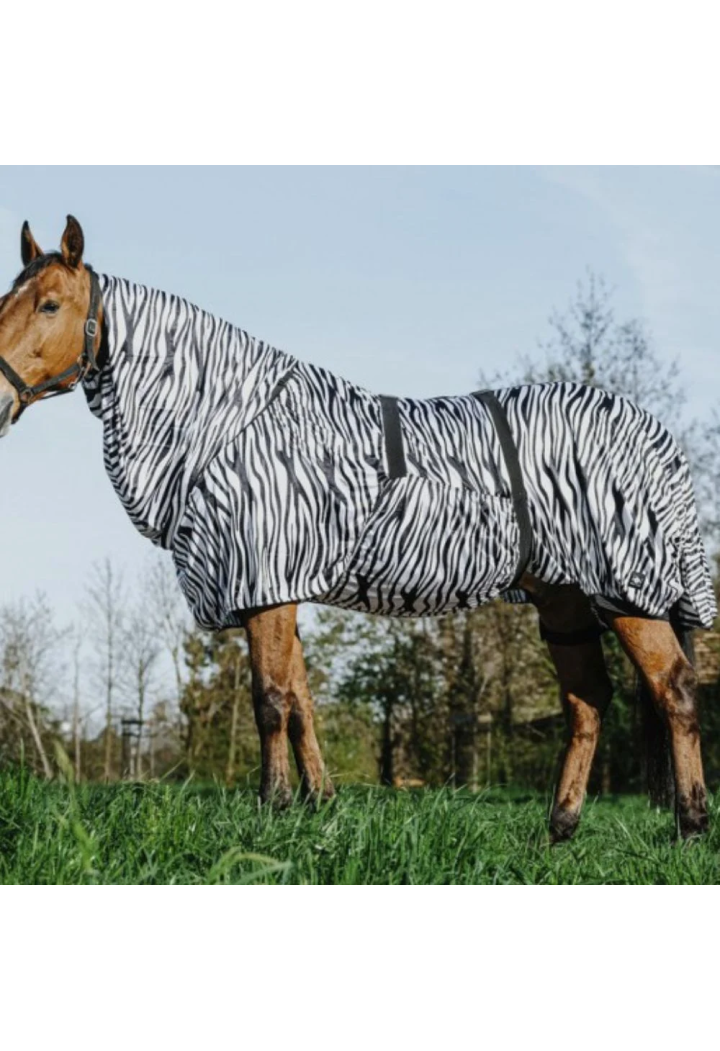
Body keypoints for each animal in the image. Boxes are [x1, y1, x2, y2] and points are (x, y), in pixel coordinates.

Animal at [0, 215, 713, 844]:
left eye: (51, 304)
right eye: (10, 296)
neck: (232, 424)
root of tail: (653, 433)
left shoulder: (263, 583)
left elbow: (270, 700)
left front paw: (273, 807)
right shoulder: (277, 589)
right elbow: (301, 701)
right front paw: (318, 806)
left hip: (627, 591)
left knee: (675, 692)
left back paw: (690, 827)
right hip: (562, 599)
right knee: (587, 699)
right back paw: (559, 829)